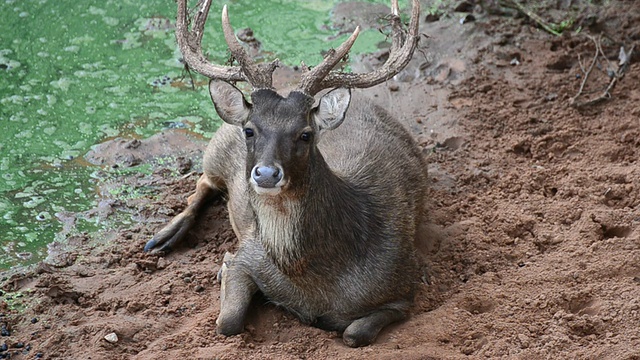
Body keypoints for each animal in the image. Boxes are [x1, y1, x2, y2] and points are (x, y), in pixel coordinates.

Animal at [143, 0, 428, 348]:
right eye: (249, 130)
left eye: (305, 134)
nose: (266, 174)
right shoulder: (249, 253)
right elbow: (227, 321)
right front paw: (223, 268)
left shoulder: (404, 284)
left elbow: (353, 333)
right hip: (215, 147)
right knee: (203, 181)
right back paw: (162, 238)